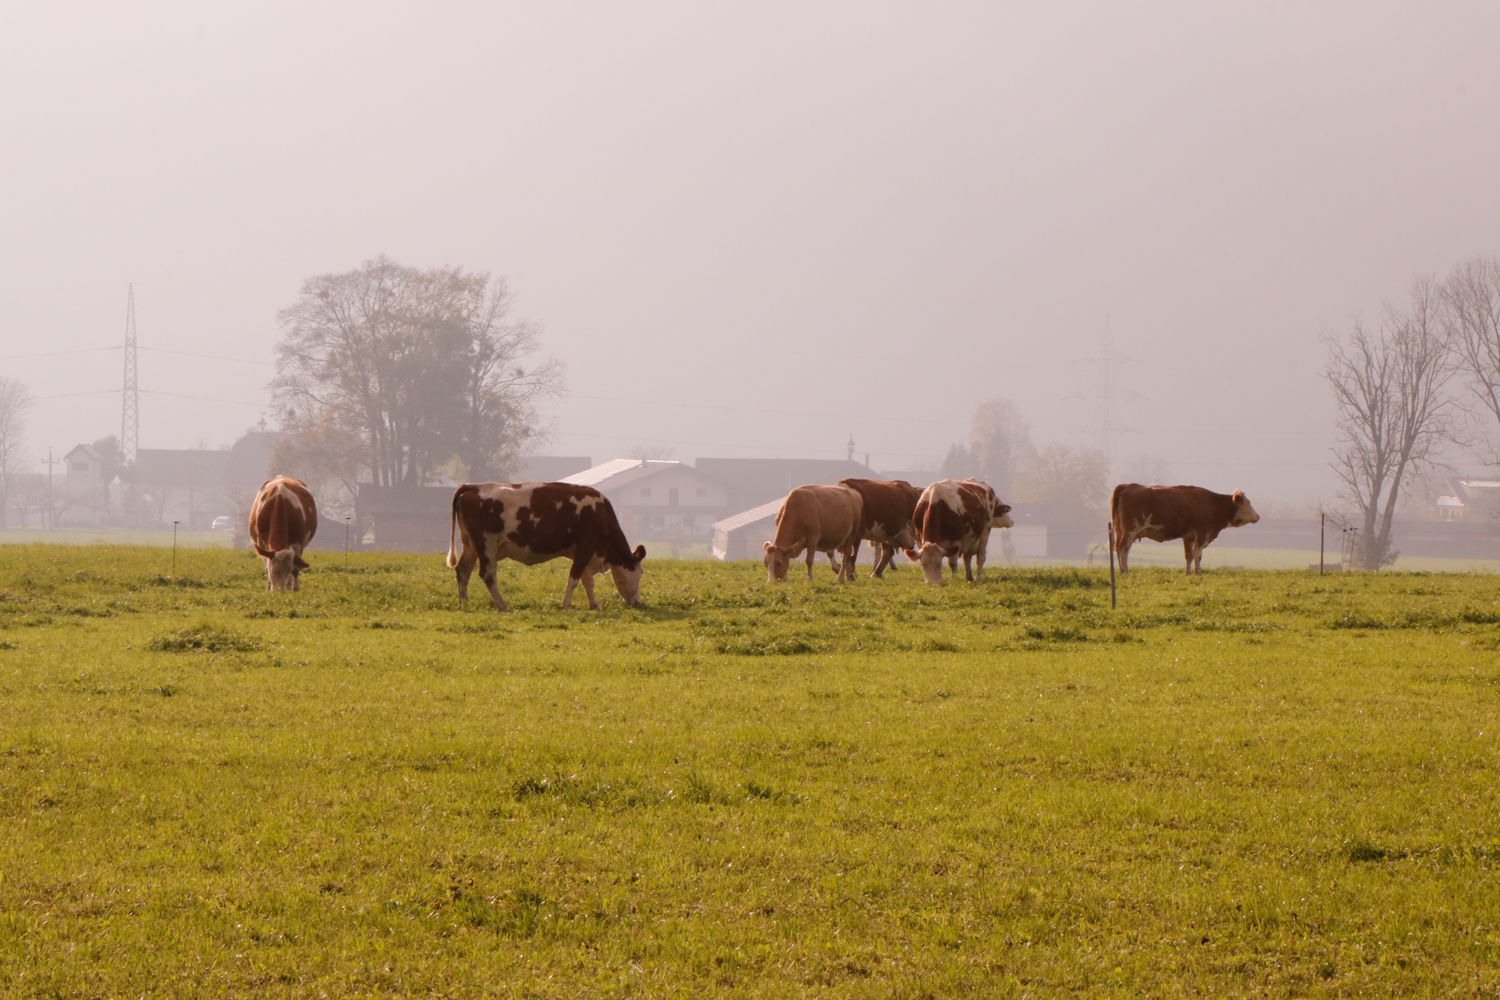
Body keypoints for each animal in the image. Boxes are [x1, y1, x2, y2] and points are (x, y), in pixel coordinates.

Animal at [444, 482, 645, 614]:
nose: (639, 601)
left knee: (463, 571)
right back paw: (503, 606)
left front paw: (594, 605)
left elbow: (588, 582)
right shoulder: (585, 550)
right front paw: (566, 606)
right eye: (641, 572)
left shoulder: (585, 555)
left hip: (470, 545)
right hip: (487, 544)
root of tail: (472, 486)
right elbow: (574, 580)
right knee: (488, 575)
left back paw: (465, 604)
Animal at [1110, 482, 1260, 575]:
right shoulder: (1202, 534)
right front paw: (1198, 573)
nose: (1258, 517)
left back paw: (1121, 570)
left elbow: (1189, 556)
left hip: (1121, 530)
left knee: (1118, 548)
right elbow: (1198, 555)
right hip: (1130, 530)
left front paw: (1187, 573)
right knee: (1123, 549)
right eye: (1247, 504)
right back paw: (1125, 571)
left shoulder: (1188, 536)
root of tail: (1127, 485)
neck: (1213, 504)